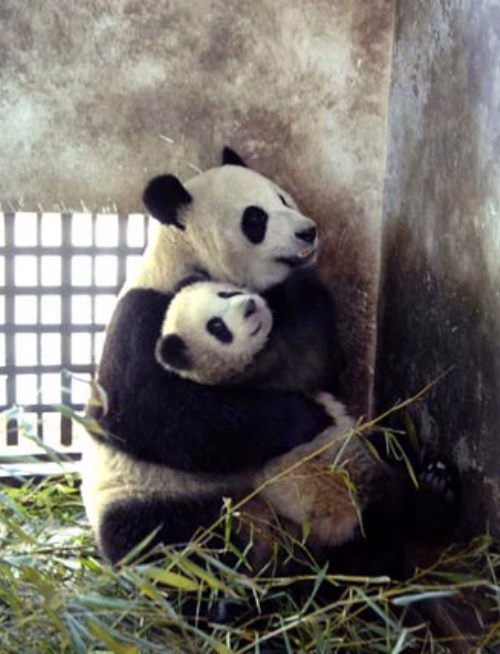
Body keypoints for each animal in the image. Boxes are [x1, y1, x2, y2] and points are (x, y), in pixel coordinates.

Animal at [80, 147, 350, 566]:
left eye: (283, 198)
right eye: (255, 217)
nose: (308, 231)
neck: (185, 256)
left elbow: (318, 361)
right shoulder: (144, 320)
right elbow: (157, 416)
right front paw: (309, 415)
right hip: (151, 494)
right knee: (163, 537)